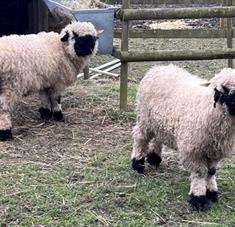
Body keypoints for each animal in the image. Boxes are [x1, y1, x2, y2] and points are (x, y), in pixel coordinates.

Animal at [131, 63, 235, 211]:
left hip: (160, 121)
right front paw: (198, 198)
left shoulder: (214, 151)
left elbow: (211, 172)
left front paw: (212, 192)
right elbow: (200, 173)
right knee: (140, 137)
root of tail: (157, 68)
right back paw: (138, 163)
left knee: (158, 138)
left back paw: (154, 158)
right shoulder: (193, 151)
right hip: (145, 119)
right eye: (221, 91)